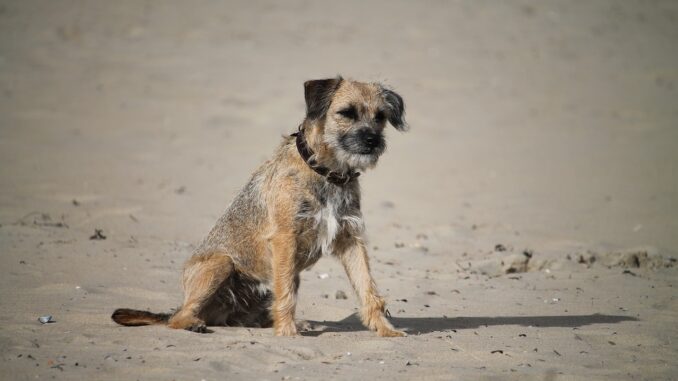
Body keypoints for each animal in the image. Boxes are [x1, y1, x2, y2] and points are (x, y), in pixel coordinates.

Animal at [113, 76, 410, 336]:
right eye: (346, 113)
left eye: (380, 116)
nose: (373, 140)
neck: (326, 172)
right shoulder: (285, 239)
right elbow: (286, 295)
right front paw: (287, 334)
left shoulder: (350, 239)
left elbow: (367, 288)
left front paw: (385, 330)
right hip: (221, 263)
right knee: (176, 318)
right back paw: (193, 323)